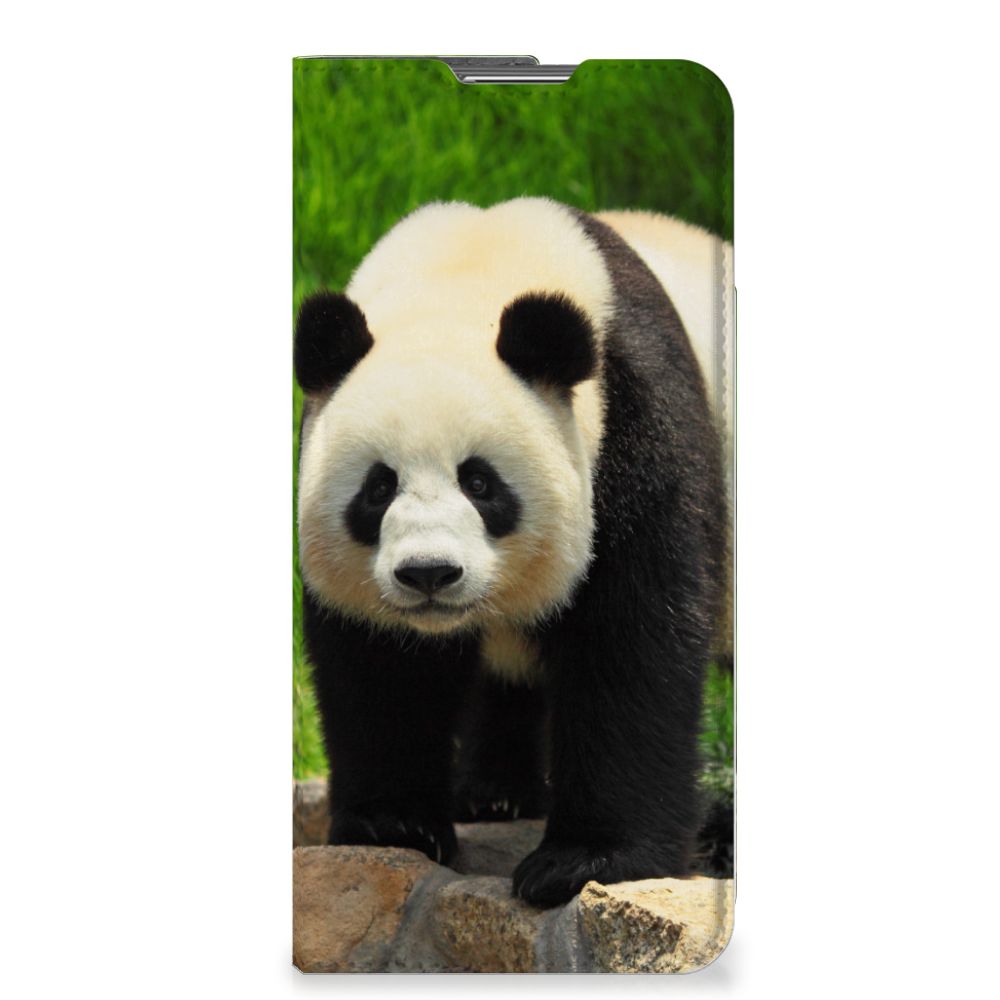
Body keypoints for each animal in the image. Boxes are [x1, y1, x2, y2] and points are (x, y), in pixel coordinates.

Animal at [295, 197, 732, 908]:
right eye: (378, 487)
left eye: (480, 482)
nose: (429, 573)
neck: (466, 270)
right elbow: (380, 666)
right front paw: (394, 825)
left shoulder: (635, 424)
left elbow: (632, 641)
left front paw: (584, 861)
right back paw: (494, 794)